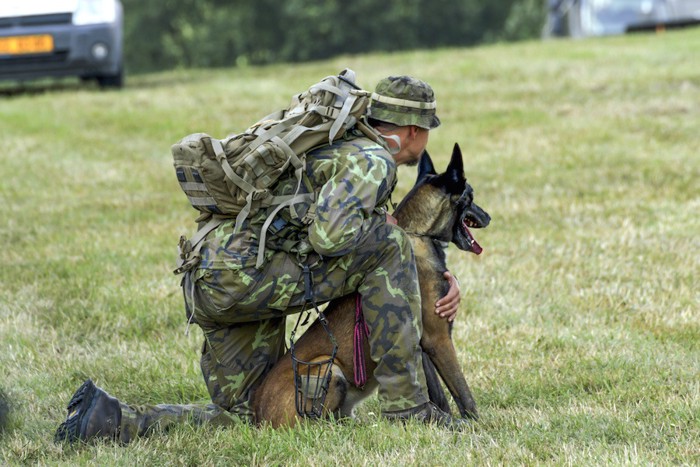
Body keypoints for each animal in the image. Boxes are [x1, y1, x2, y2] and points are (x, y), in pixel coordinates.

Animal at [253, 143, 492, 428]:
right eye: (471, 195)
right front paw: (477, 425)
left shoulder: (422, 348)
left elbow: (436, 394)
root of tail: (256, 418)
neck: (418, 234)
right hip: (329, 368)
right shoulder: (438, 339)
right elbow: (462, 392)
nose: (489, 217)